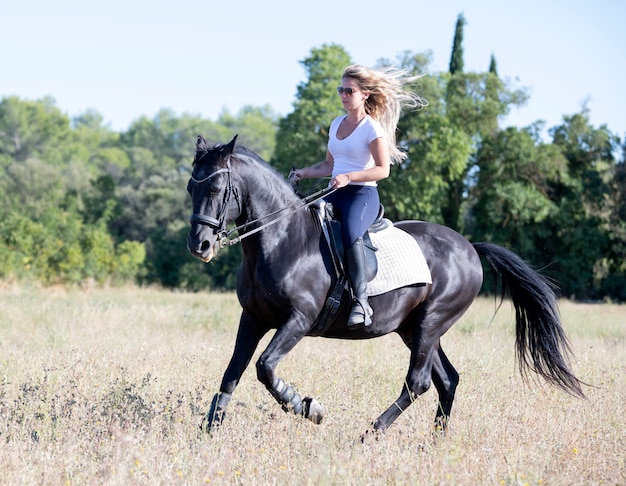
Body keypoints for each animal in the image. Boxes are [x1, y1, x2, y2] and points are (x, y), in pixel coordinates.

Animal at [184, 134, 580, 436]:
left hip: (430, 323)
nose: (199, 245)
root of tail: (470, 247)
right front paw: (209, 431)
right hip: (416, 329)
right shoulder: (252, 318)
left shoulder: (298, 319)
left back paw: (370, 433)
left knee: (418, 382)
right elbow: (232, 372)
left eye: (217, 187)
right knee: (447, 380)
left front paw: (308, 407)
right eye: (190, 187)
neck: (283, 240)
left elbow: (265, 367)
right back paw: (435, 443)